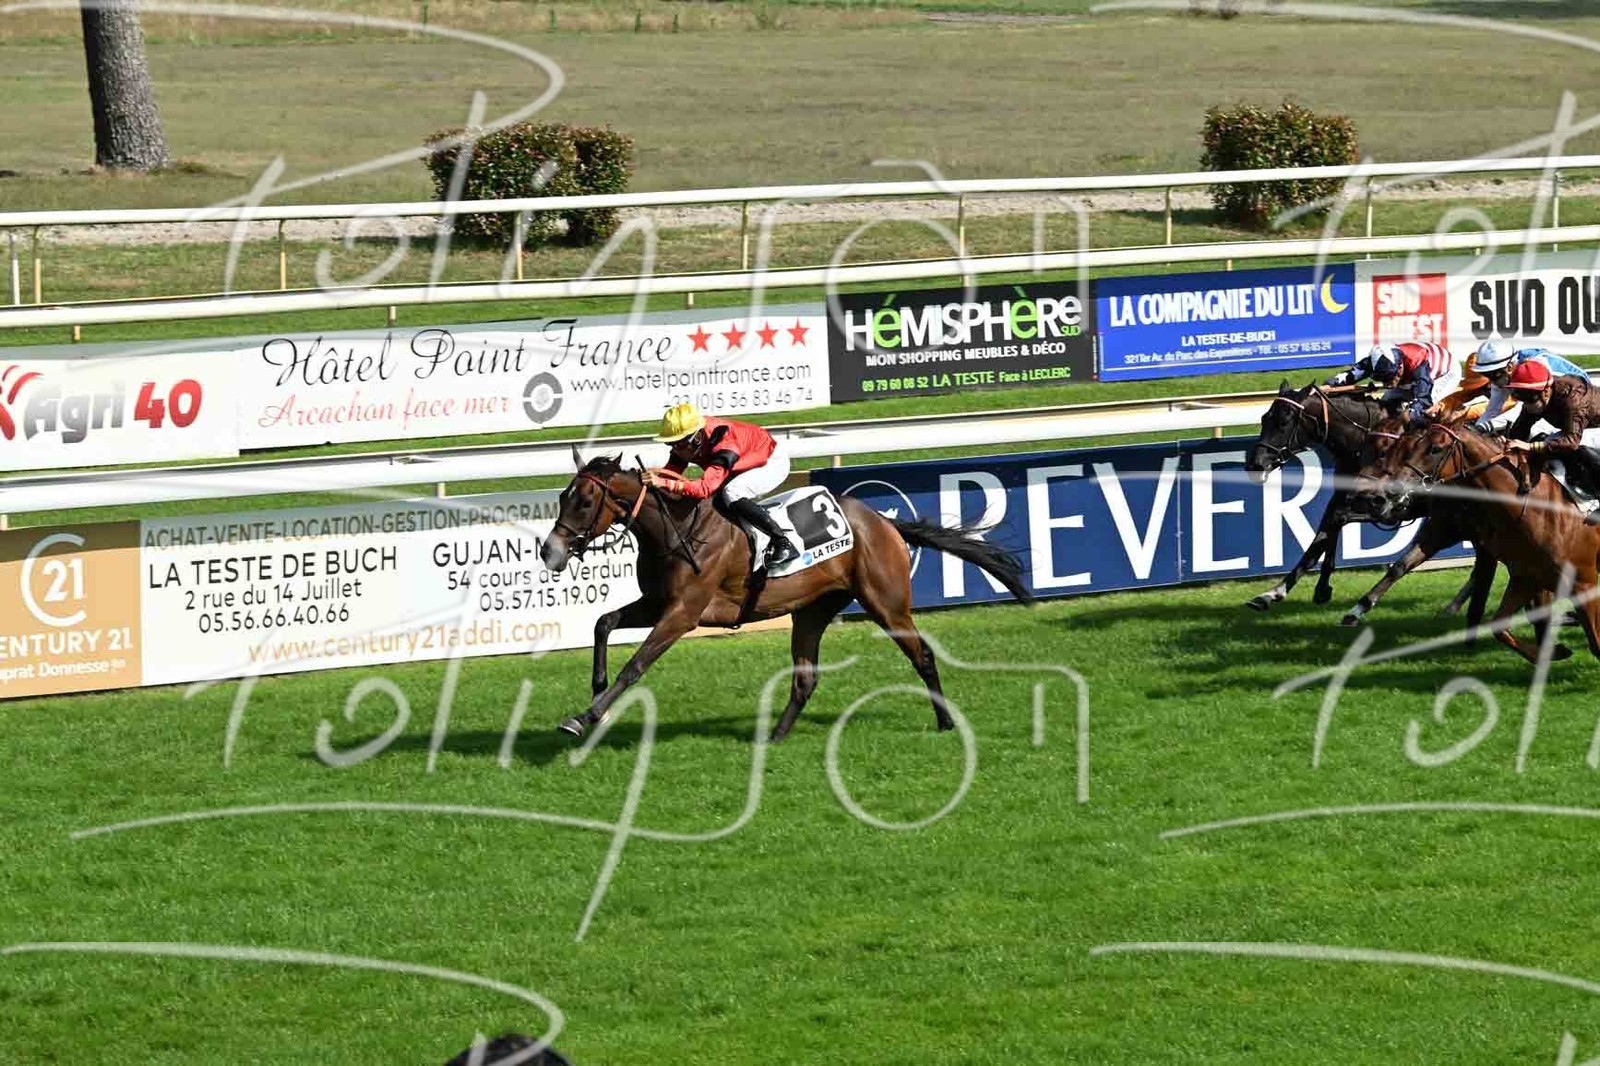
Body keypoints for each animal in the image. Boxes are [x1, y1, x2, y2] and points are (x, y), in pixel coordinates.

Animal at [538, 450, 1035, 740]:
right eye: (562, 497)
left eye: (584, 502)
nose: (549, 551)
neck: (677, 528)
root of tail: (885, 522)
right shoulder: (658, 603)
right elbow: (603, 622)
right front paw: (595, 694)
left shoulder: (684, 612)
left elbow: (637, 664)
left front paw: (585, 718)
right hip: (812, 611)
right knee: (805, 678)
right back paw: (774, 736)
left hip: (887, 604)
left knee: (923, 656)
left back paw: (946, 722)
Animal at [1244, 381, 1496, 631]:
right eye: (1265, 418)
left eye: (1284, 422)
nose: (1256, 464)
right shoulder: (1343, 498)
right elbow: (1320, 540)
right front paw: (1275, 593)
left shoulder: (1394, 508)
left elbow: (1337, 525)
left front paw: (1325, 591)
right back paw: (1453, 606)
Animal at [1351, 422, 1600, 663]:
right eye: (1413, 448)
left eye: (1435, 449)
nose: (1381, 497)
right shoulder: (1525, 577)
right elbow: (1500, 627)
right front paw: (1555, 650)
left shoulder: (1583, 582)